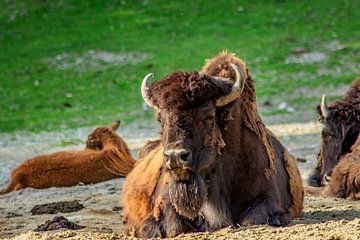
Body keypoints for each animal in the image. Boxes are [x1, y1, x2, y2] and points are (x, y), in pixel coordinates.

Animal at [121, 51, 304, 237]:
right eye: (160, 118)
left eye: (208, 116)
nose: (175, 156)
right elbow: (174, 225)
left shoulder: (269, 197)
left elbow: (253, 219)